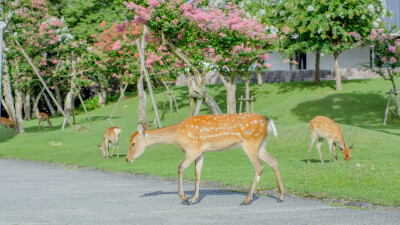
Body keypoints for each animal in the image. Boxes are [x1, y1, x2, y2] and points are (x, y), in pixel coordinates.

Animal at [125, 113, 284, 205]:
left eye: (133, 143)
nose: (127, 159)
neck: (176, 136)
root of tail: (269, 121)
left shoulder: (193, 148)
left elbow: (180, 167)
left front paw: (185, 197)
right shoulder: (200, 152)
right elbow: (198, 173)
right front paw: (194, 199)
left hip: (250, 142)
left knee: (259, 166)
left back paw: (247, 199)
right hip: (260, 144)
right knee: (274, 161)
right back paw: (281, 196)